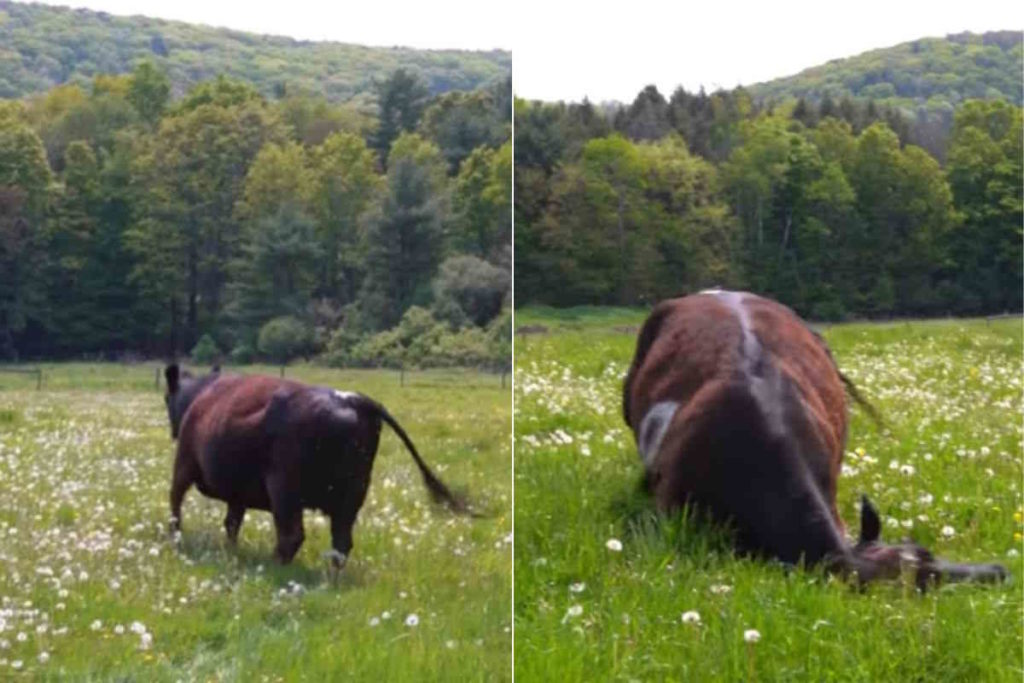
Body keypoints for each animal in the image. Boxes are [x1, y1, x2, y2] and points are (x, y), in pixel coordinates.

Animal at [163, 364, 470, 568]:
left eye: (166, 398)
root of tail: (352, 399)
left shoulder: (184, 465)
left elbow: (175, 503)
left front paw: (175, 537)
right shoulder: (238, 492)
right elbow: (232, 522)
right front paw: (231, 549)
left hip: (284, 490)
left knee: (292, 536)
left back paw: (273, 565)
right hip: (353, 494)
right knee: (342, 543)